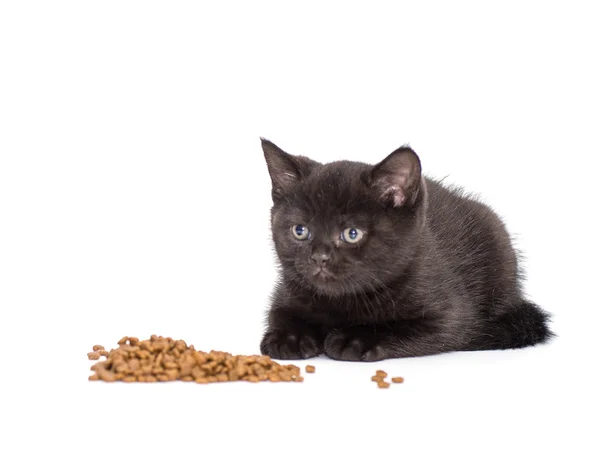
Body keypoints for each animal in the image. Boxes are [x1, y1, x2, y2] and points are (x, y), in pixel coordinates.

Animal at [258, 138, 552, 362]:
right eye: (300, 230)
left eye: (352, 234)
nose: (319, 257)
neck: (343, 301)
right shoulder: (286, 291)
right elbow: (280, 314)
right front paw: (290, 338)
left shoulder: (450, 316)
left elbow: (403, 328)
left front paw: (356, 339)